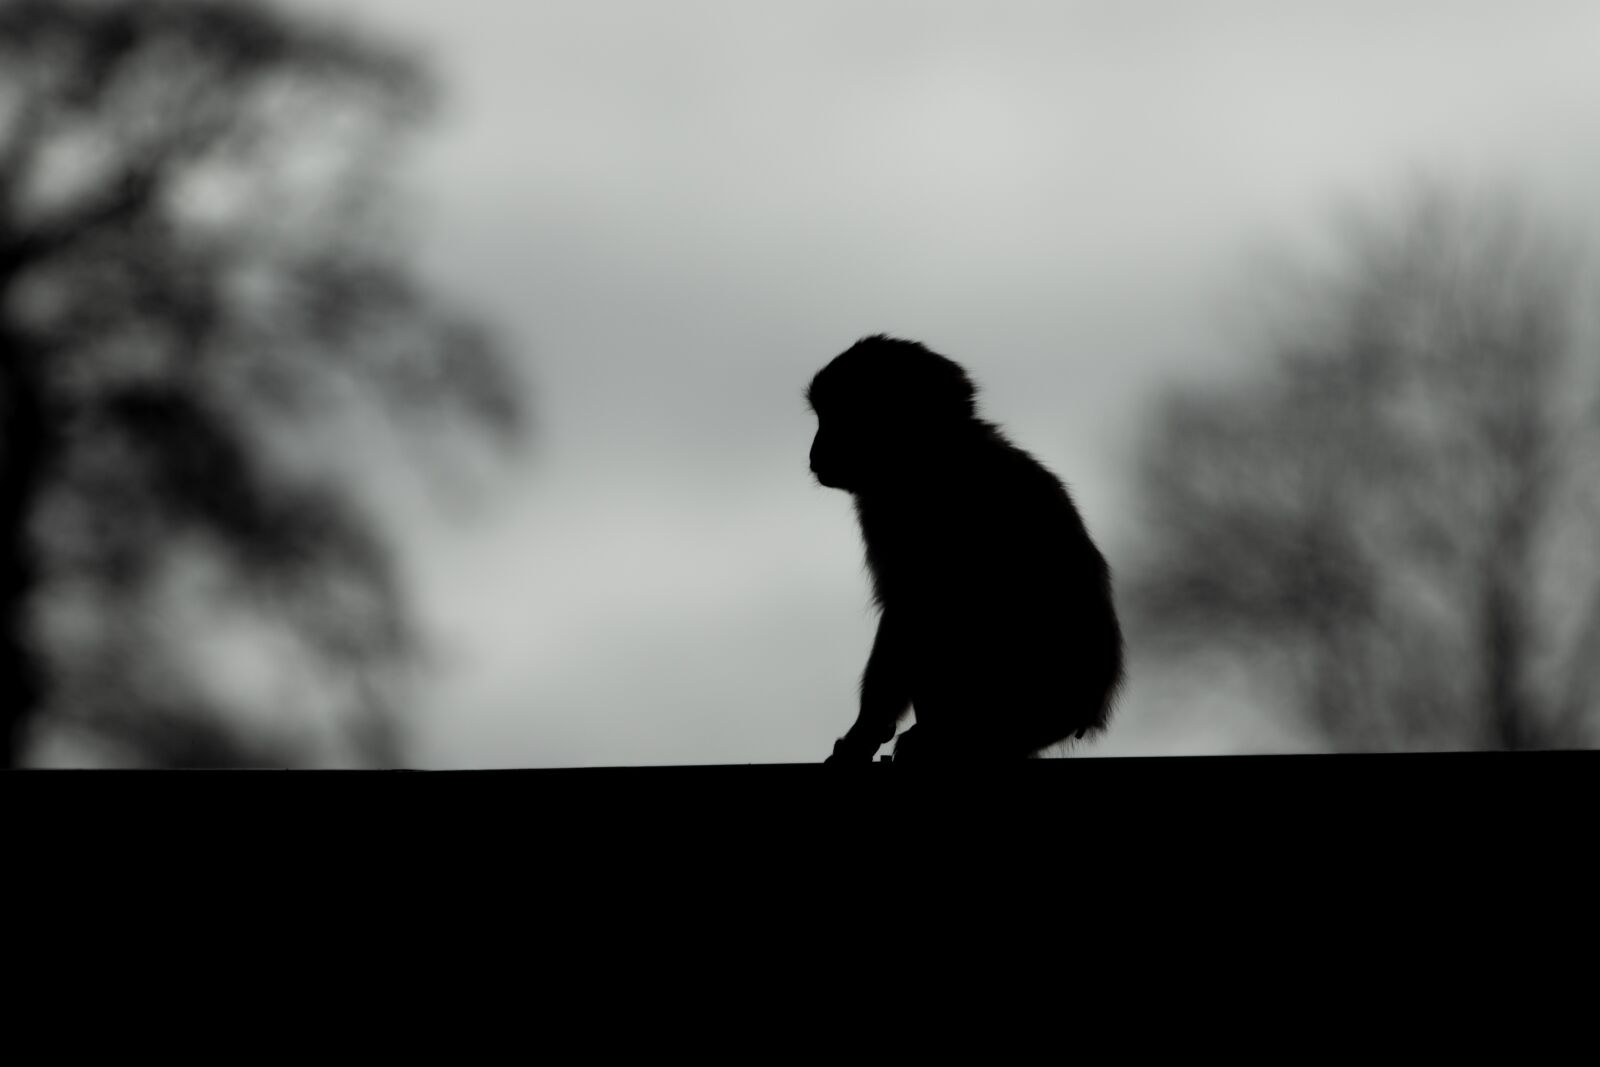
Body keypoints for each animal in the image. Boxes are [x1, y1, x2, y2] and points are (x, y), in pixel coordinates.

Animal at [807, 334, 1124, 763]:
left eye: (837, 416)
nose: (813, 453)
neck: (929, 457)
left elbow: (909, 608)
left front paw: (865, 730)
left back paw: (944, 737)